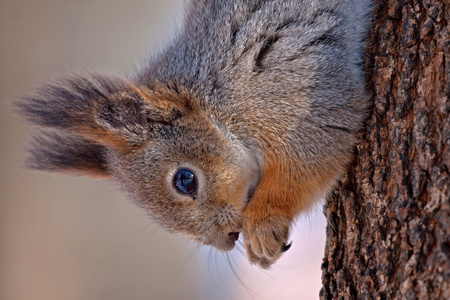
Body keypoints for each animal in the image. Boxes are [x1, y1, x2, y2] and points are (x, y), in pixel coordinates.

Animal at [15, 0, 370, 268]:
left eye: (185, 180)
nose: (228, 239)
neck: (213, 99)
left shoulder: (290, 96)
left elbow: (309, 159)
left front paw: (264, 223)